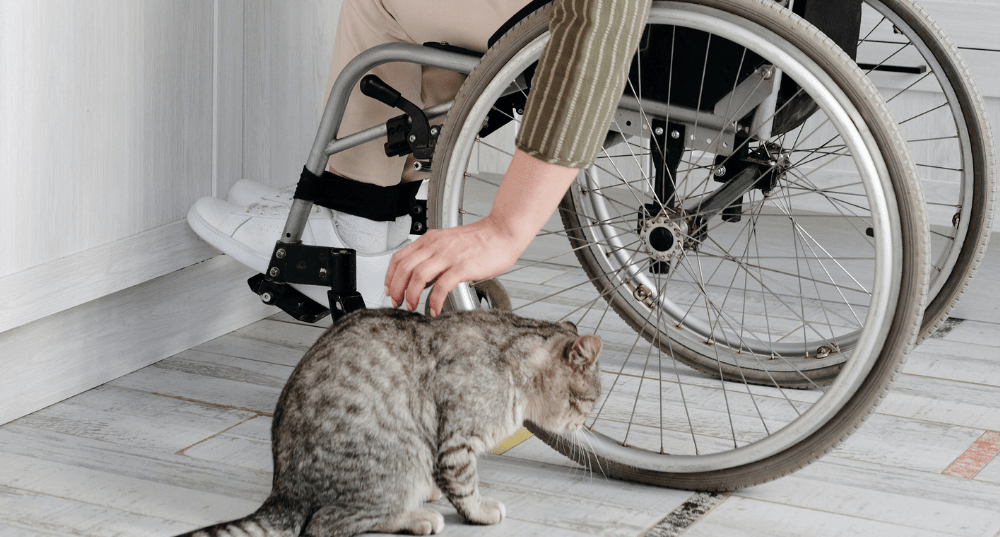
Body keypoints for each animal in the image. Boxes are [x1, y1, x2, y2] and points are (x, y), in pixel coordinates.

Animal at [177, 306, 600, 536]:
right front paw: (480, 511)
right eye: (591, 401)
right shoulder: (457, 440)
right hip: (400, 456)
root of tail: (283, 492)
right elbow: (464, 485)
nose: (584, 425)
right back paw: (416, 517)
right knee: (326, 523)